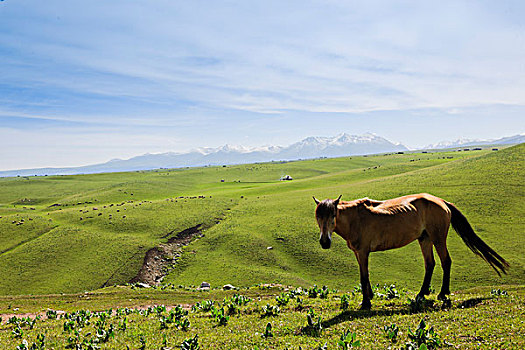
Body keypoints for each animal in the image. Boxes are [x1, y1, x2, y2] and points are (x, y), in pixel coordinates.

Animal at [314, 193, 506, 310]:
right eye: (318, 217)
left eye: (333, 216)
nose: (324, 242)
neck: (355, 219)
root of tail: (442, 202)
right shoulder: (358, 253)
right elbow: (364, 276)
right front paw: (370, 296)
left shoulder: (362, 252)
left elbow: (364, 276)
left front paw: (366, 303)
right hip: (425, 239)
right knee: (430, 264)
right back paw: (421, 294)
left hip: (438, 238)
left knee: (446, 261)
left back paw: (442, 293)